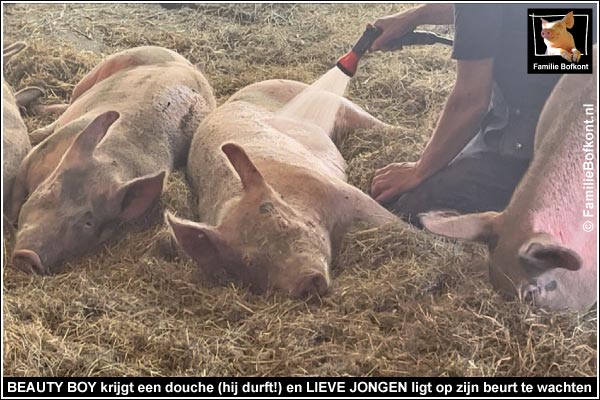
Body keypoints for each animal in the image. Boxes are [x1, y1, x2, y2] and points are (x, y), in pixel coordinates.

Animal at [8, 45, 216, 274]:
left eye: (89, 222)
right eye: (51, 190)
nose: (28, 256)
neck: (114, 160)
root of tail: (189, 64)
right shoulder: (34, 156)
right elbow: (16, 194)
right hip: (98, 72)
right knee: (70, 101)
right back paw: (37, 121)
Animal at [165, 79, 398, 296]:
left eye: (283, 224)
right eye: (250, 262)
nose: (305, 281)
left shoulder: (339, 190)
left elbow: (388, 219)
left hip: (327, 99)